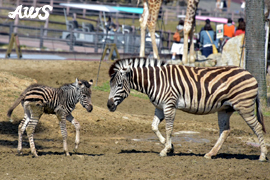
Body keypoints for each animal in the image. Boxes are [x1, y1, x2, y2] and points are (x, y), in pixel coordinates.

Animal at [107, 57, 268, 162]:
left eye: (119, 85)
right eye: (110, 84)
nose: (108, 105)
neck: (155, 81)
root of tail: (251, 75)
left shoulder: (169, 105)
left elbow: (169, 128)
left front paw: (166, 150)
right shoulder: (159, 107)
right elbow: (154, 127)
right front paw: (169, 145)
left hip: (244, 107)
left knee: (257, 127)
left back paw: (262, 155)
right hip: (225, 109)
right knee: (226, 130)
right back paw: (210, 154)